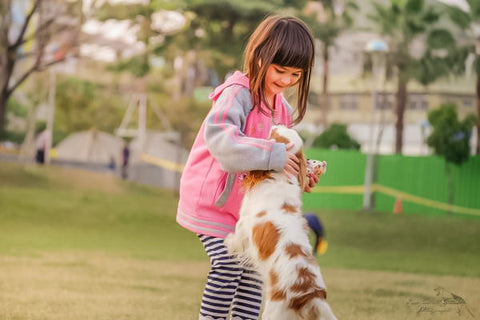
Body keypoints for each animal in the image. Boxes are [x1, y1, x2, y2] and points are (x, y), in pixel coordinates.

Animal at [225, 125, 334, 320]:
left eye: (275, 134)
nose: (278, 124)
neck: (279, 177)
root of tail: (310, 294)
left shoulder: (243, 224)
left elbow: (236, 239)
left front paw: (228, 241)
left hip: (273, 311)